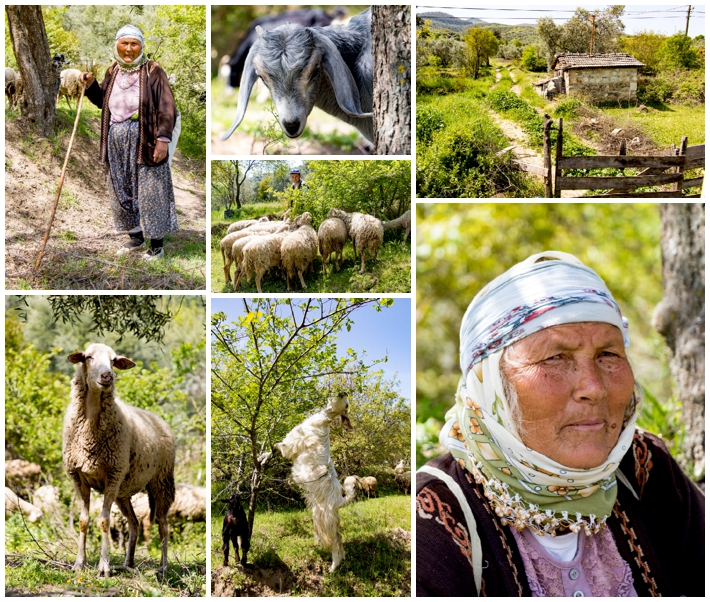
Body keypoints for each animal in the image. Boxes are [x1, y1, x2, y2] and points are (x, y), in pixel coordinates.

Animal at [63, 342, 176, 576]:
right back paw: (128, 563)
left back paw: (163, 567)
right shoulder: (78, 476)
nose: (107, 375)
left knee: (163, 524)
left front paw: (104, 566)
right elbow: (83, 521)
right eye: (88, 357)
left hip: (161, 481)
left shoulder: (112, 475)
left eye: (113, 360)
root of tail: (159, 420)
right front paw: (79, 563)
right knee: (134, 523)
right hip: (123, 491)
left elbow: (104, 521)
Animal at [276, 392, 356, 568]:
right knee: (340, 537)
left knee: (334, 541)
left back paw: (333, 567)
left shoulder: (292, 444)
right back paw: (343, 559)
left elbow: (281, 446)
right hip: (331, 521)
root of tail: (341, 500)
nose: (343, 392)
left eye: (347, 405)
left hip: (324, 521)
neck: (322, 421)